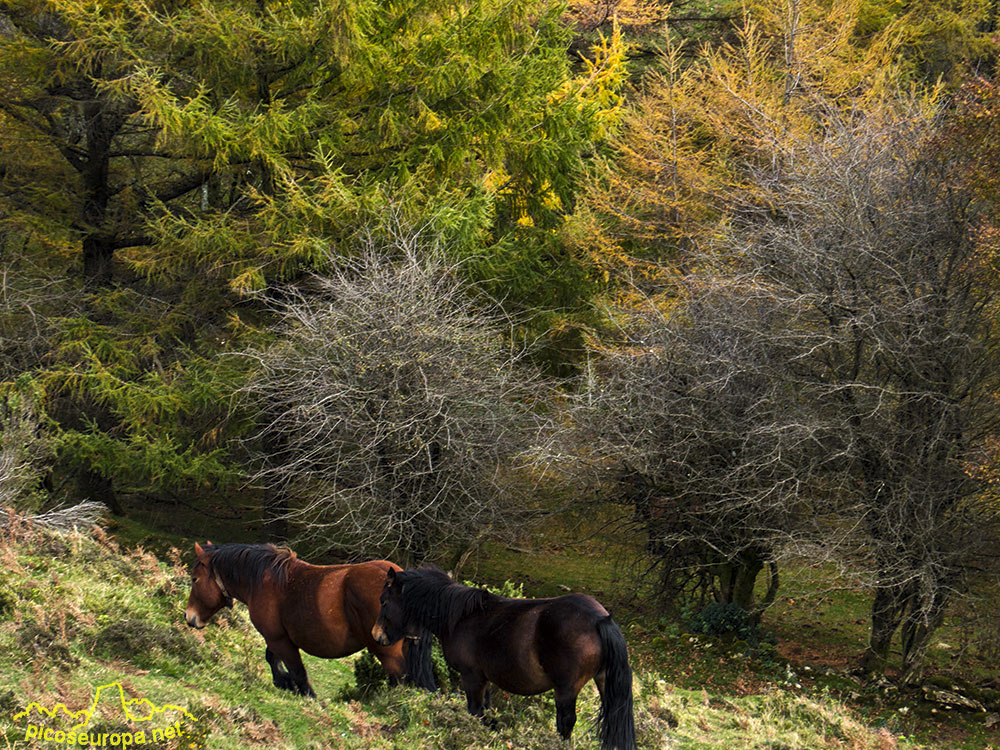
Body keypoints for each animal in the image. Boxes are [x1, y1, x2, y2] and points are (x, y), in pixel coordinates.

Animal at [185, 544, 434, 696]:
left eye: (195, 579)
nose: (189, 617)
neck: (264, 581)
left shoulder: (279, 639)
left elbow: (297, 671)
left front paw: (300, 691)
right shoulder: (277, 639)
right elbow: (274, 660)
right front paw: (285, 684)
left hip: (388, 653)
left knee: (401, 681)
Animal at [372, 568, 636, 750]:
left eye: (384, 601)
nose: (376, 635)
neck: (461, 617)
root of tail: (600, 618)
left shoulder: (472, 678)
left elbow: (475, 711)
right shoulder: (484, 679)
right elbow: (486, 714)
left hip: (566, 690)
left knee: (566, 723)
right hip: (604, 682)